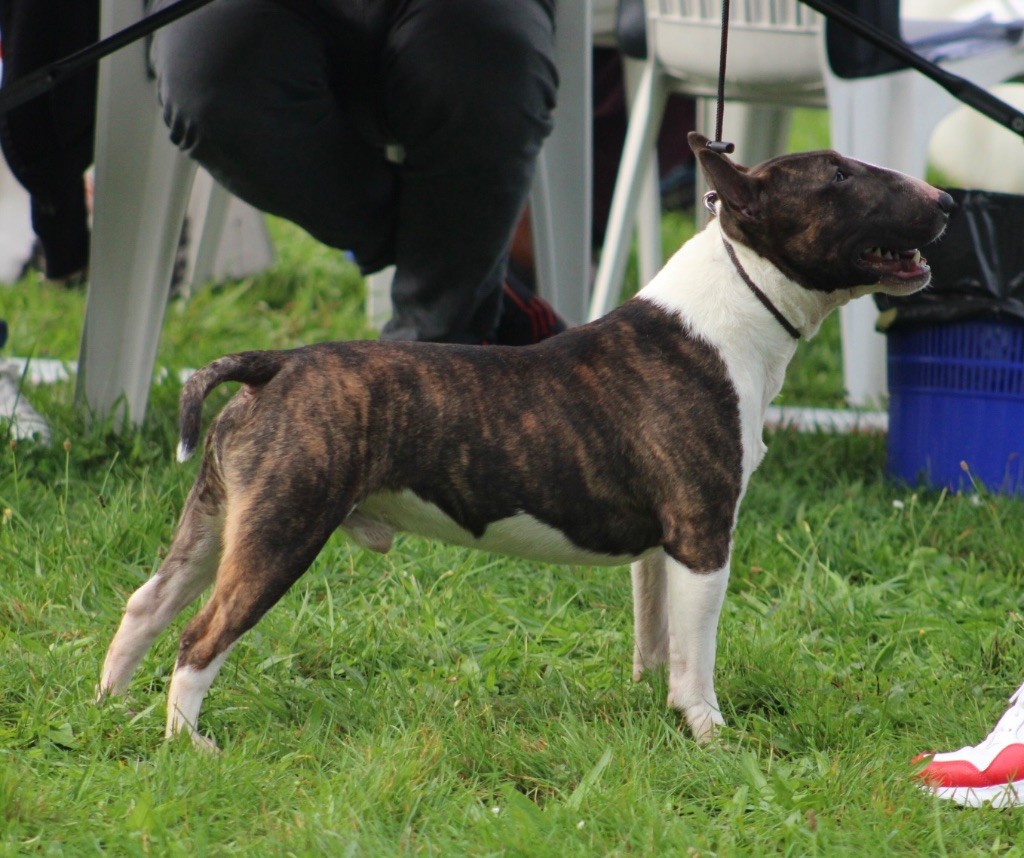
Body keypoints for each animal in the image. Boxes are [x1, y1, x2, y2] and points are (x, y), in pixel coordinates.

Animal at [96, 133, 950, 745]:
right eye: (838, 176)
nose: (944, 201)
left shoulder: (660, 545)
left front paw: (655, 710)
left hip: (219, 518)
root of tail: (275, 366)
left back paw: (107, 709)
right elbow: (698, 653)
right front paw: (709, 733)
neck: (729, 311)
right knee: (199, 638)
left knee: (147, 603)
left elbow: (657, 640)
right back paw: (190, 746)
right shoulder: (704, 537)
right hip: (284, 527)